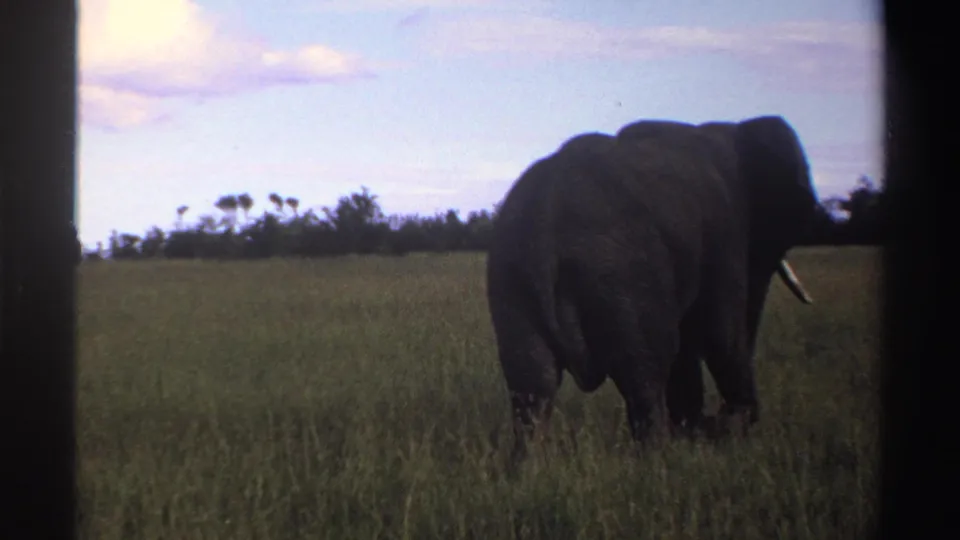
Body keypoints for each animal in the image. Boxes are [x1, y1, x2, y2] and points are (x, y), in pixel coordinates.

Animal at [485, 115, 818, 460]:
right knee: (646, 372)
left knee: (532, 386)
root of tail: (544, 224)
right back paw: (661, 459)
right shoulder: (724, 232)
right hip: (622, 277)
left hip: (512, 278)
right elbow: (721, 331)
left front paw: (700, 430)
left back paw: (528, 465)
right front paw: (728, 429)